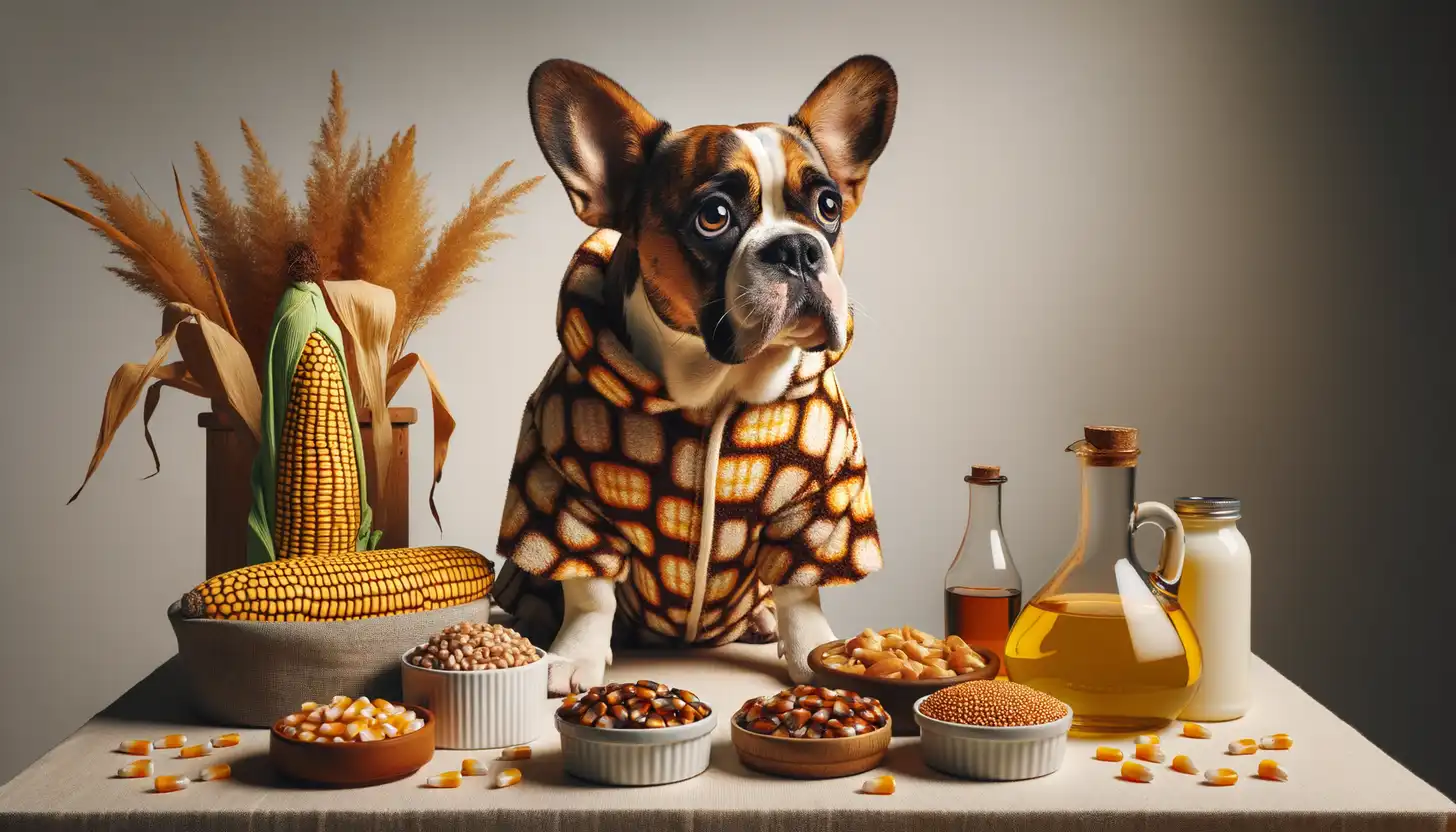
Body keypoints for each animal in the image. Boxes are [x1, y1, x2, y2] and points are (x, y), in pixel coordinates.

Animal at [495, 55, 891, 696]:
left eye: (828, 207)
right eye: (714, 217)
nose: (797, 249)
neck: (719, 385)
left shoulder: (820, 508)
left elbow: (800, 592)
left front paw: (814, 652)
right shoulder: (562, 501)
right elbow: (590, 592)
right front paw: (576, 655)